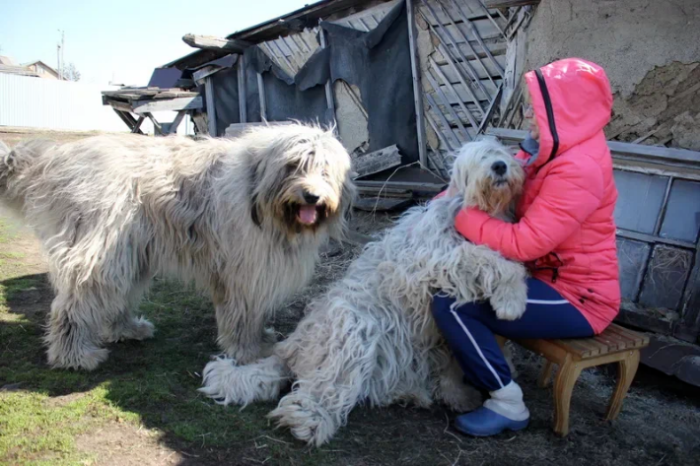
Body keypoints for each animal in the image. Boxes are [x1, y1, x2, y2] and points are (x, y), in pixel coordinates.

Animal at [0, 124, 352, 372]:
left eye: (325, 170)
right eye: (293, 166)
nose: (312, 196)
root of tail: (58, 161)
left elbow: (253, 313)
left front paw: (258, 339)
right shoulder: (244, 270)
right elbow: (242, 314)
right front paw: (247, 350)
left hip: (130, 252)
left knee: (115, 296)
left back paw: (126, 329)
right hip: (100, 250)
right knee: (74, 303)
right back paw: (73, 355)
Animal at [200, 139, 528, 448]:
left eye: (501, 151)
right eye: (480, 158)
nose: (499, 166)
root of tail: (290, 349)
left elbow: (453, 360)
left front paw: (461, 394)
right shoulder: (435, 259)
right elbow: (488, 259)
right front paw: (513, 300)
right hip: (353, 325)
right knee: (321, 388)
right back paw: (309, 420)